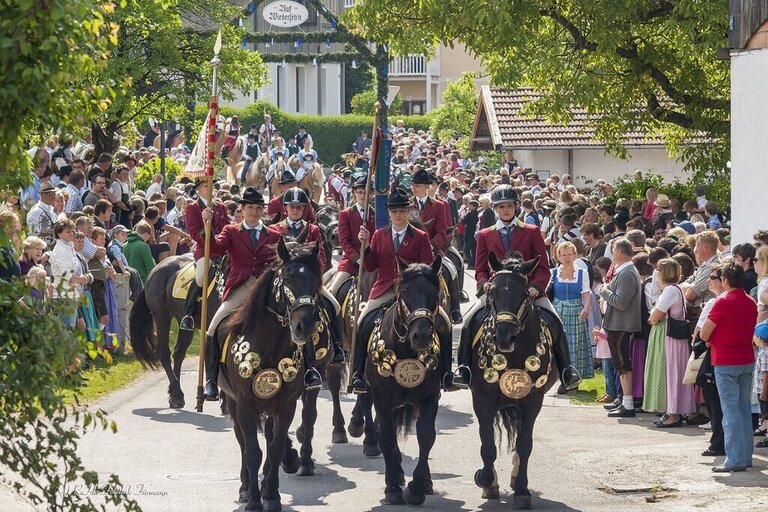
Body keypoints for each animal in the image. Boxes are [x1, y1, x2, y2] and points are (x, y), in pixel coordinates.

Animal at [219, 239, 324, 512]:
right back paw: (245, 487)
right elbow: (252, 451)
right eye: (287, 277)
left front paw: (272, 495)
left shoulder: (285, 406)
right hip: (232, 402)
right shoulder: (245, 405)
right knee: (242, 441)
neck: (269, 347)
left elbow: (275, 448)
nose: (305, 325)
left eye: (316, 280)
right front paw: (254, 500)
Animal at [364, 258, 448, 506]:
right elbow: (387, 438)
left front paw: (417, 487)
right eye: (405, 292)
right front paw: (392, 488)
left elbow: (426, 435)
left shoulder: (430, 397)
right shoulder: (382, 399)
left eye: (435, 294)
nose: (421, 336)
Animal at [468, 254, 560, 510]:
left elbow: (525, 444)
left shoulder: (533, 401)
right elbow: (488, 445)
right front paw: (485, 479)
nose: (504, 337)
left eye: (524, 294)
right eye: (492, 291)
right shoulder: (483, 400)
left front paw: (521, 490)